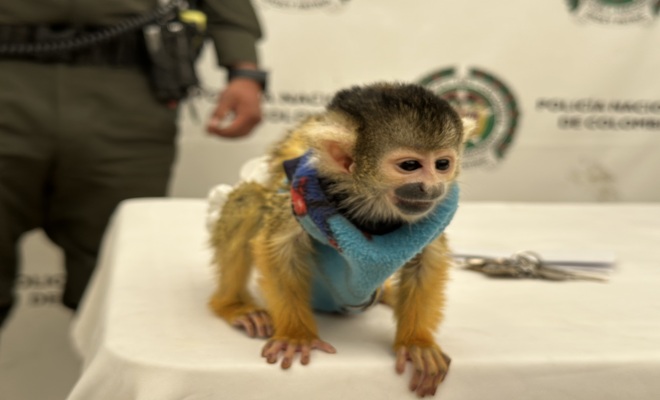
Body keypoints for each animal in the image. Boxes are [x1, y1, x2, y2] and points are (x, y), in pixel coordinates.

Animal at [208, 82, 474, 397]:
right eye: (410, 165)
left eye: (442, 164)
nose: (432, 187)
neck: (368, 198)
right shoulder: (302, 192)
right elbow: (279, 247)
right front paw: (297, 336)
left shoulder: (434, 214)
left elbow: (428, 257)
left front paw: (416, 344)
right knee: (248, 198)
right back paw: (234, 306)